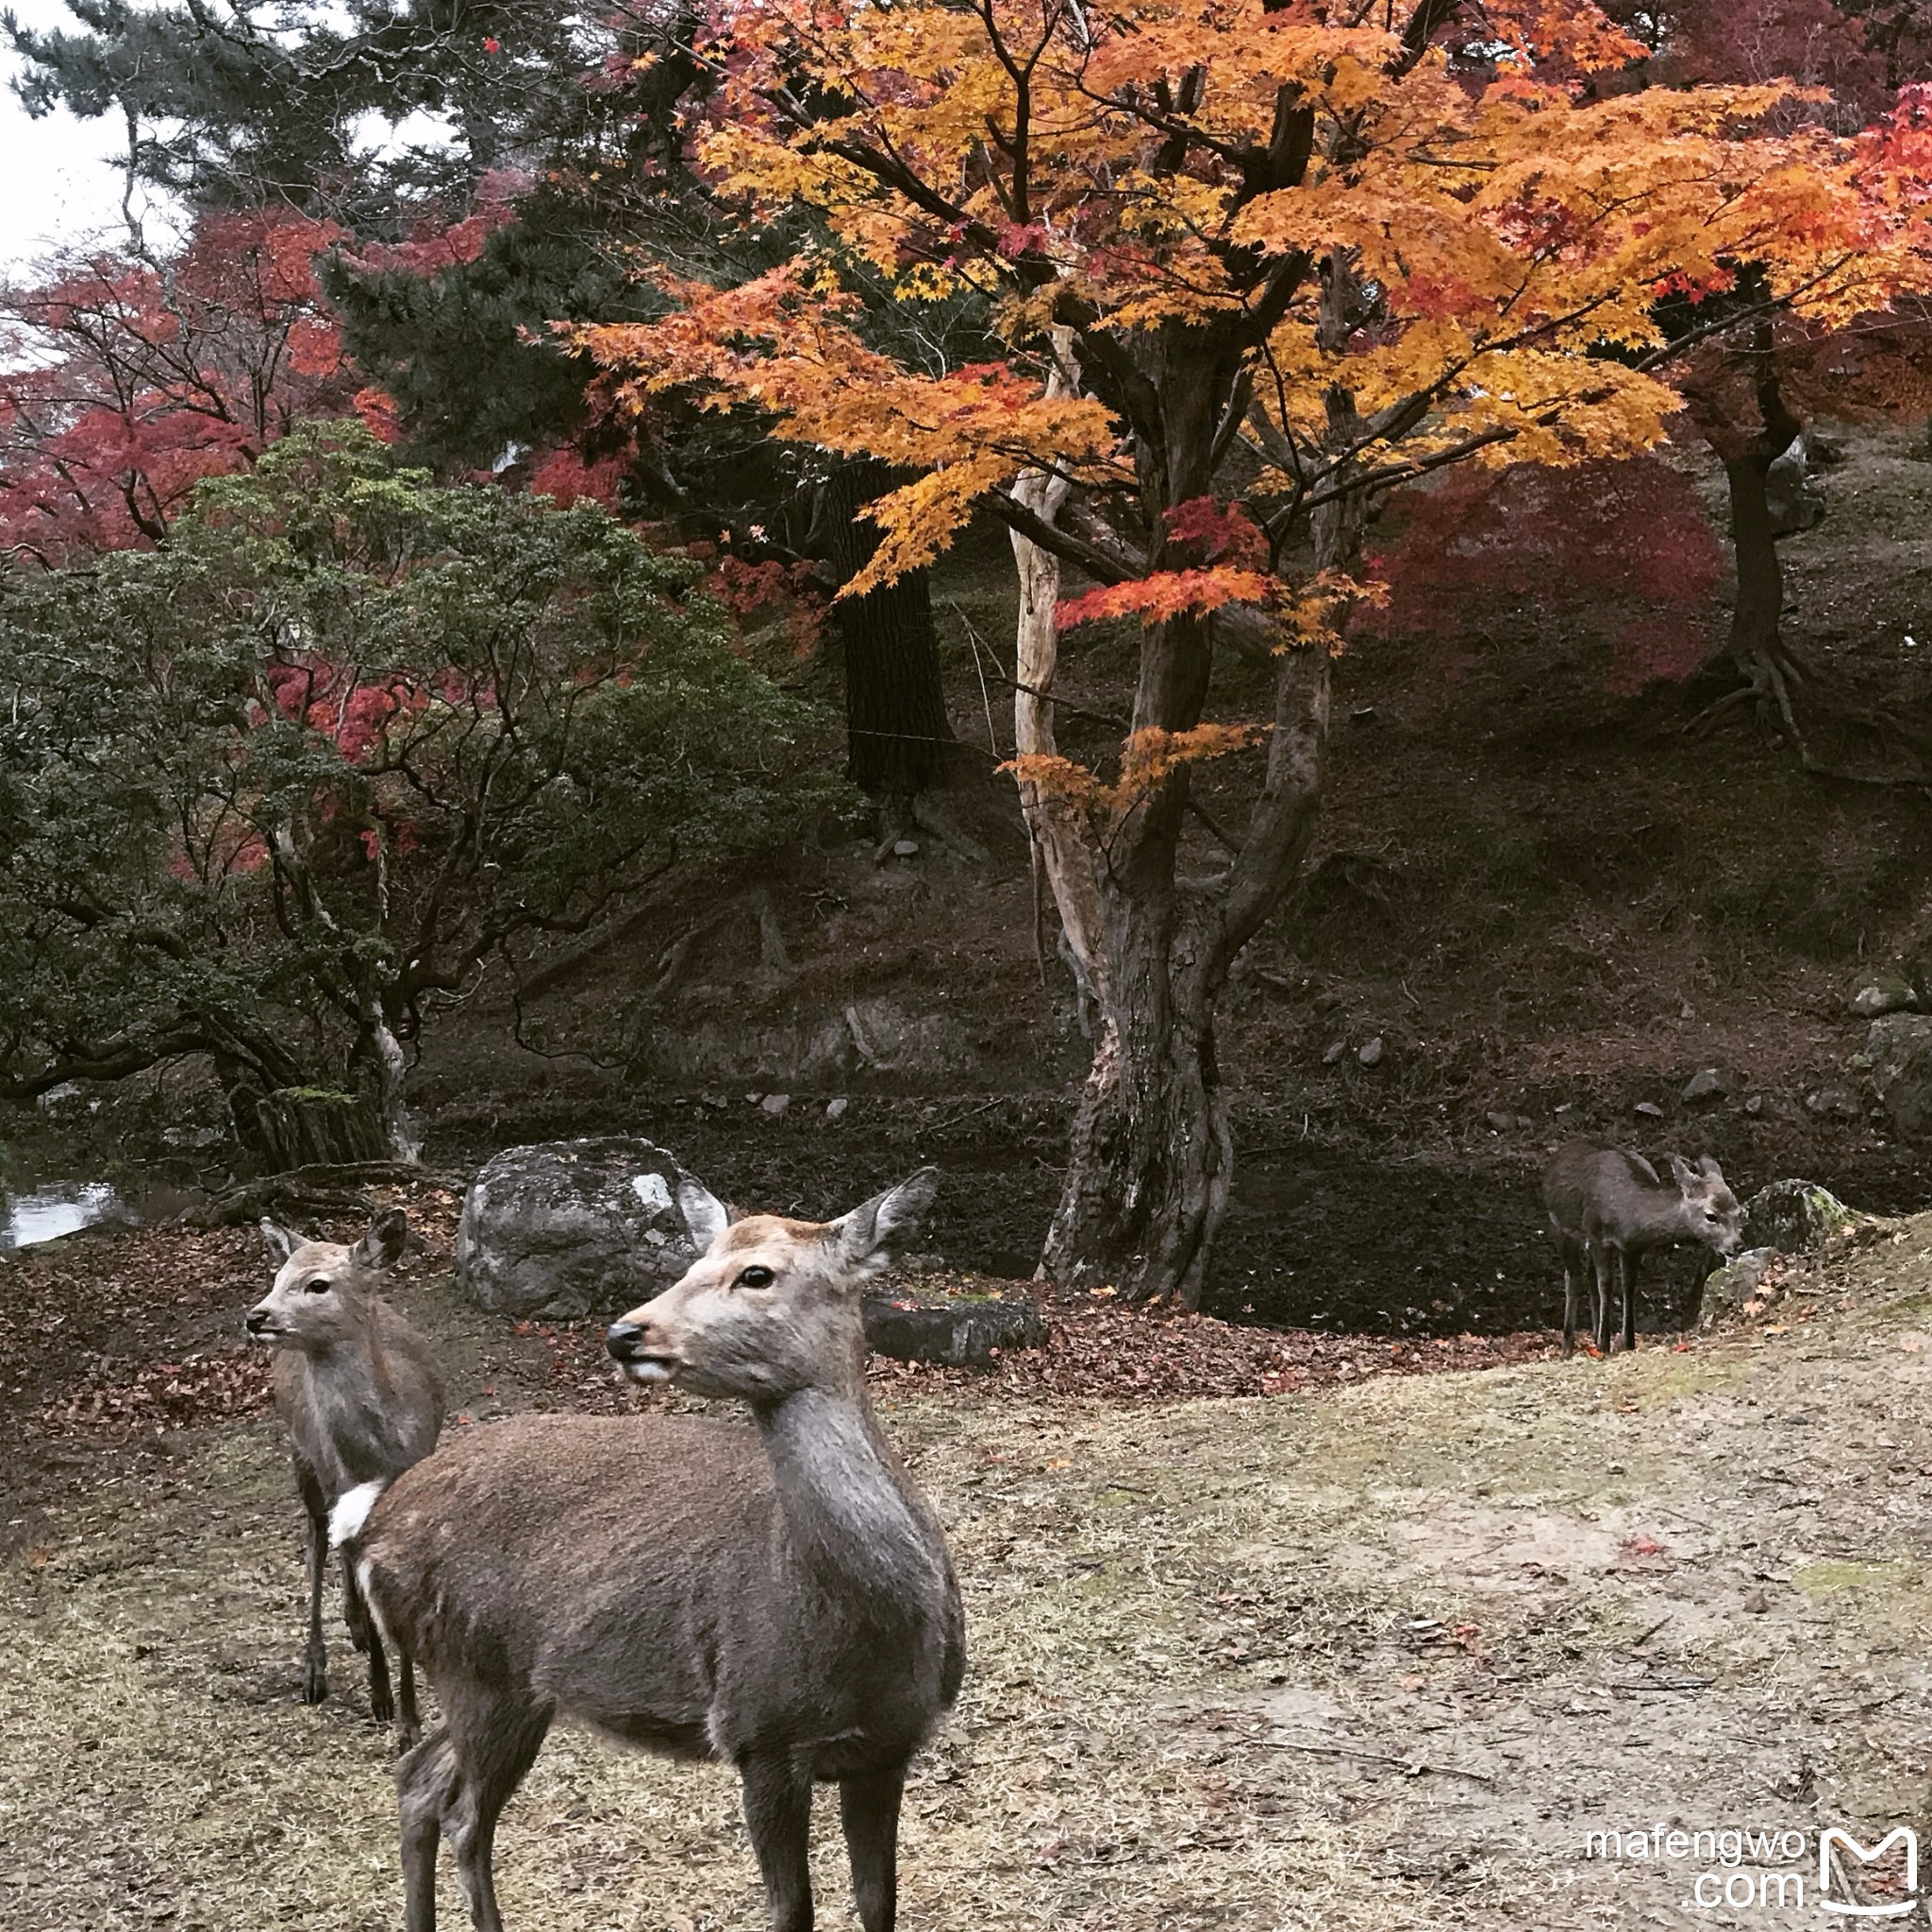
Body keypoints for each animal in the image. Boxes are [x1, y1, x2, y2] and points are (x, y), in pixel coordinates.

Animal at [245, 1205, 441, 1739]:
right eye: (276, 1277)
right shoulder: (337, 1479)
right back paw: (316, 1667)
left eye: (318, 1284)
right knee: (315, 1541)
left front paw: (411, 1719)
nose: (256, 1316)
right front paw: (384, 1703)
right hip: (304, 1460)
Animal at [338, 1166, 966, 1932]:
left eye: (757, 1273)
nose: (625, 1332)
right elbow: (793, 1911)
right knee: (462, 1814)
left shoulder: (889, 1747)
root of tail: (371, 1523)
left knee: (419, 1780)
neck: (865, 1632)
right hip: (477, 1670)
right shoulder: (758, 1733)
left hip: (494, 1684)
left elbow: (879, 1904)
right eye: (691, 1263)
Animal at [1545, 1128, 1746, 1359]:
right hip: (1558, 1224)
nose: (1737, 1245)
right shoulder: (1597, 1237)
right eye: (1711, 1216)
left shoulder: (1632, 1247)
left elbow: (1628, 1286)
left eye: (1738, 1211)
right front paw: (1604, 1346)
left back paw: (1593, 1335)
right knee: (1573, 1275)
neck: (1628, 1216)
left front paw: (1627, 1342)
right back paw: (1568, 1347)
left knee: (1587, 1275)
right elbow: (1606, 1285)